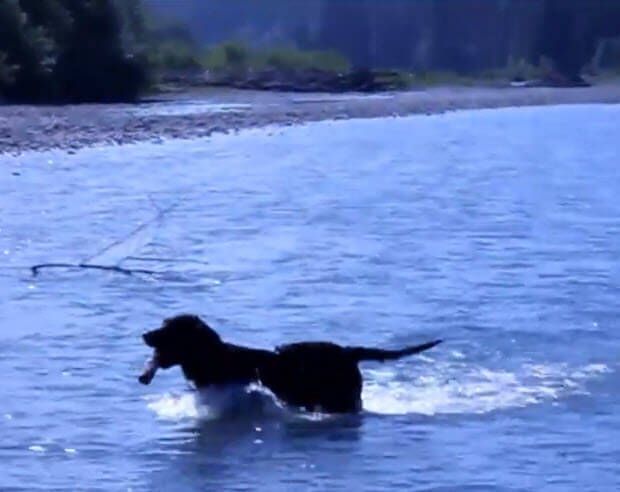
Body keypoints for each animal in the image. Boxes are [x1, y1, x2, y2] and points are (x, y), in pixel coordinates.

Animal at [140, 314, 440, 414]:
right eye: (162, 324)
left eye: (168, 329)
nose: (144, 334)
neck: (215, 356)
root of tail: (347, 353)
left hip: (339, 399)